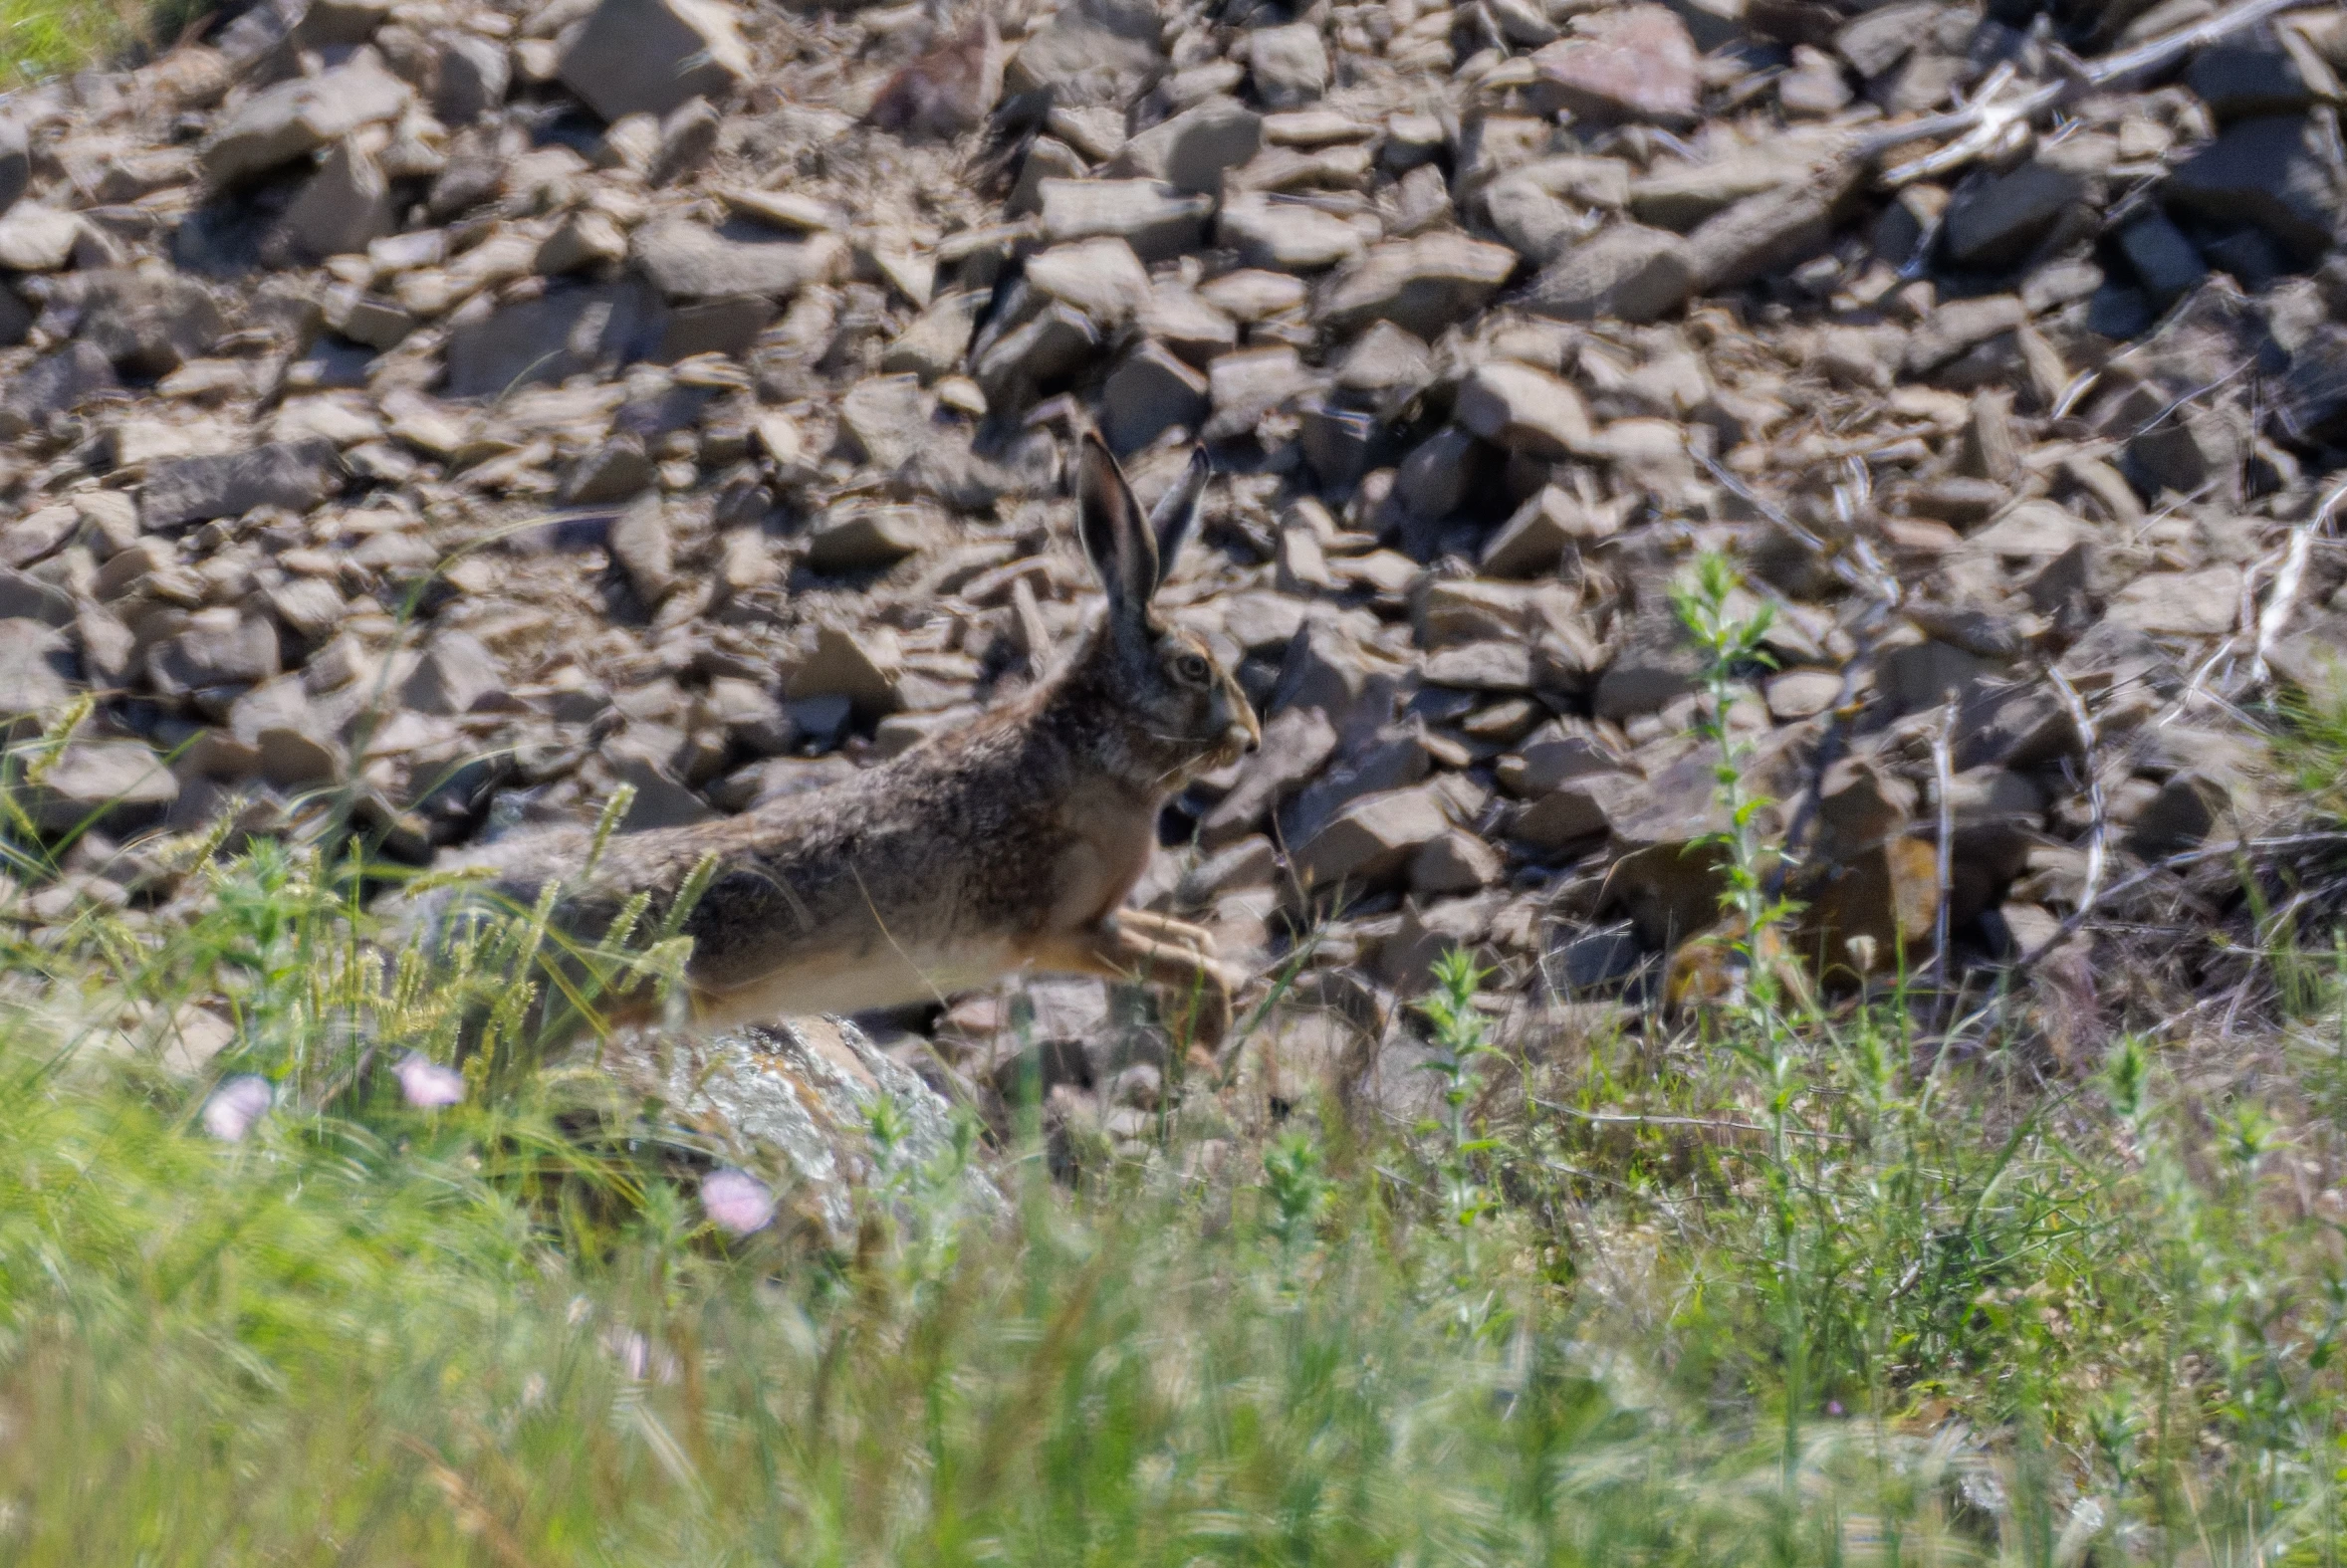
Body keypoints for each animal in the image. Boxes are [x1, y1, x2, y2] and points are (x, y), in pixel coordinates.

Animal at [398, 435, 1262, 1056]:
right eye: (1193, 668)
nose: (1251, 741)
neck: (1096, 744)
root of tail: (459, 915)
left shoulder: (1102, 921)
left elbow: (1189, 940)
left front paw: (1203, 1027)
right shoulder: (1063, 931)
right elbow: (1183, 961)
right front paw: (1211, 1031)